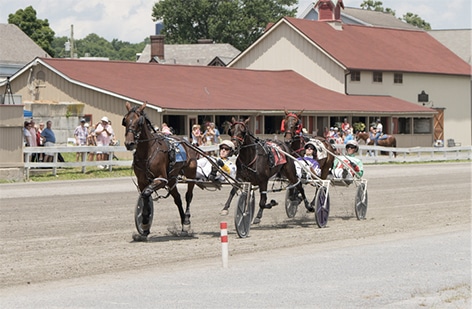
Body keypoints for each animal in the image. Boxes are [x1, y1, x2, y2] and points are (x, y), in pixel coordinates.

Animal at [121, 101, 197, 238]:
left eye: (139, 122)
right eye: (125, 120)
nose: (129, 143)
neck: (147, 153)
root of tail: (186, 141)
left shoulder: (161, 179)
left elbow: (146, 193)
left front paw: (145, 221)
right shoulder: (142, 181)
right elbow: (145, 195)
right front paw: (145, 225)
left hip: (191, 175)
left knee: (188, 196)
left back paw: (186, 220)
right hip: (172, 179)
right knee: (177, 198)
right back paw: (183, 223)